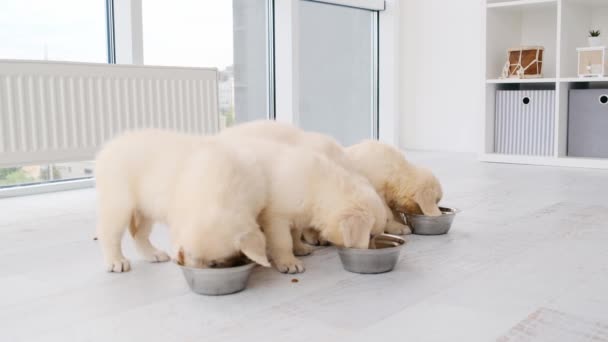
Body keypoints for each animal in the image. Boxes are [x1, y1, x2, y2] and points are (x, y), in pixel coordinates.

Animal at [221, 138, 388, 274]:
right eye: (370, 236)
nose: (373, 251)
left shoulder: (298, 215)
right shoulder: (276, 219)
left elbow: (295, 234)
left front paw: (299, 248)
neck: (317, 187)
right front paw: (289, 262)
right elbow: (284, 242)